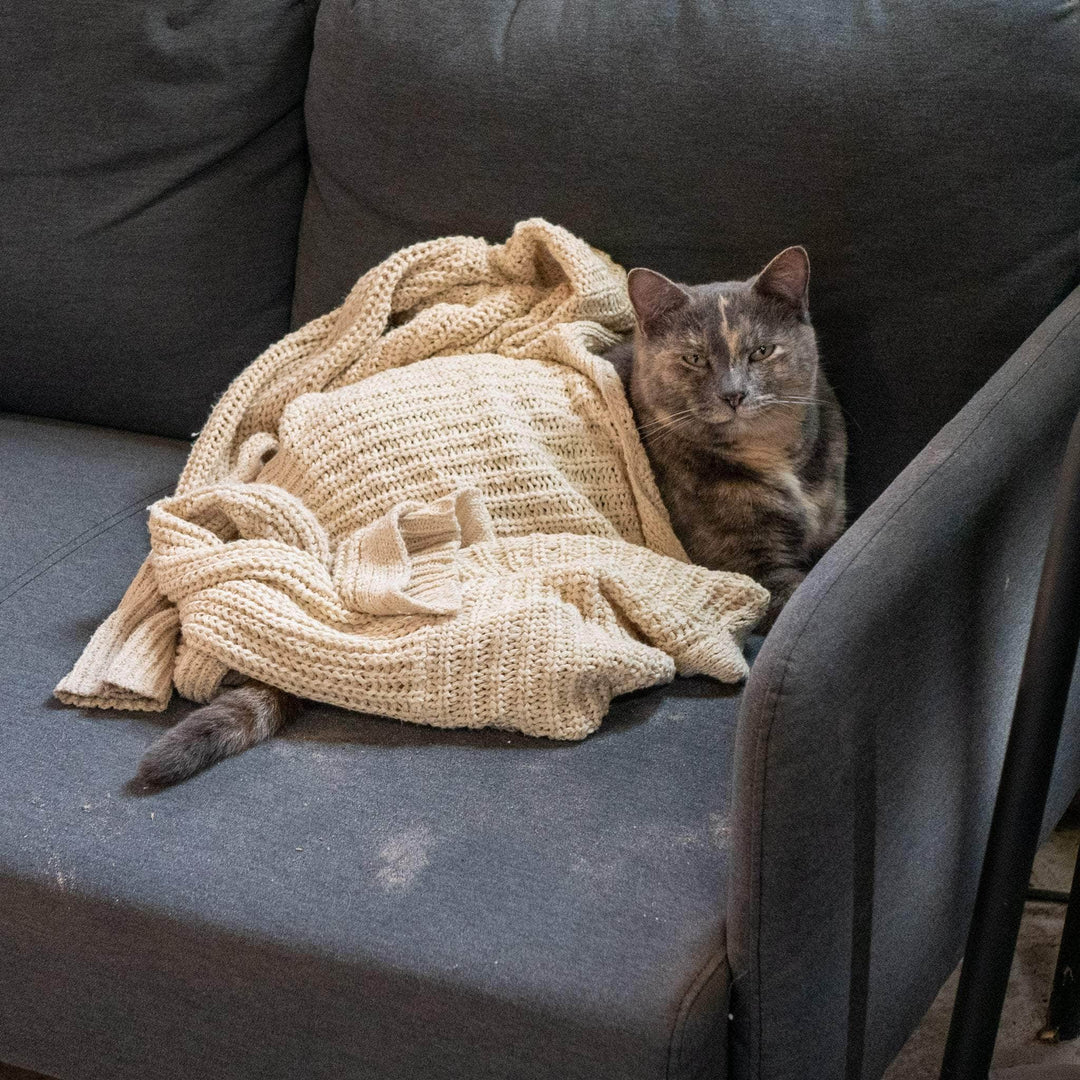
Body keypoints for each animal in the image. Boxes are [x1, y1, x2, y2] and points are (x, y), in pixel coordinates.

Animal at [135, 243, 842, 786]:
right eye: (695, 357)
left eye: (762, 352)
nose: (734, 393)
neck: (780, 460)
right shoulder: (749, 567)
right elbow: (790, 588)